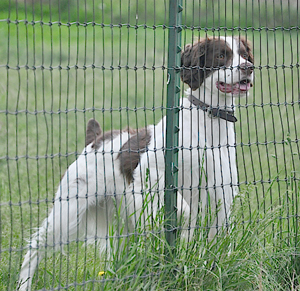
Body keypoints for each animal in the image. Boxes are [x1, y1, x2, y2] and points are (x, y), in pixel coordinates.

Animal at [18, 36, 253, 290]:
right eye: (221, 55)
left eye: (244, 54)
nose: (248, 68)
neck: (207, 125)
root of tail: (95, 140)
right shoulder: (149, 176)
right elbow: (184, 209)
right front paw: (182, 229)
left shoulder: (221, 194)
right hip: (68, 211)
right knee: (35, 246)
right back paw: (23, 283)